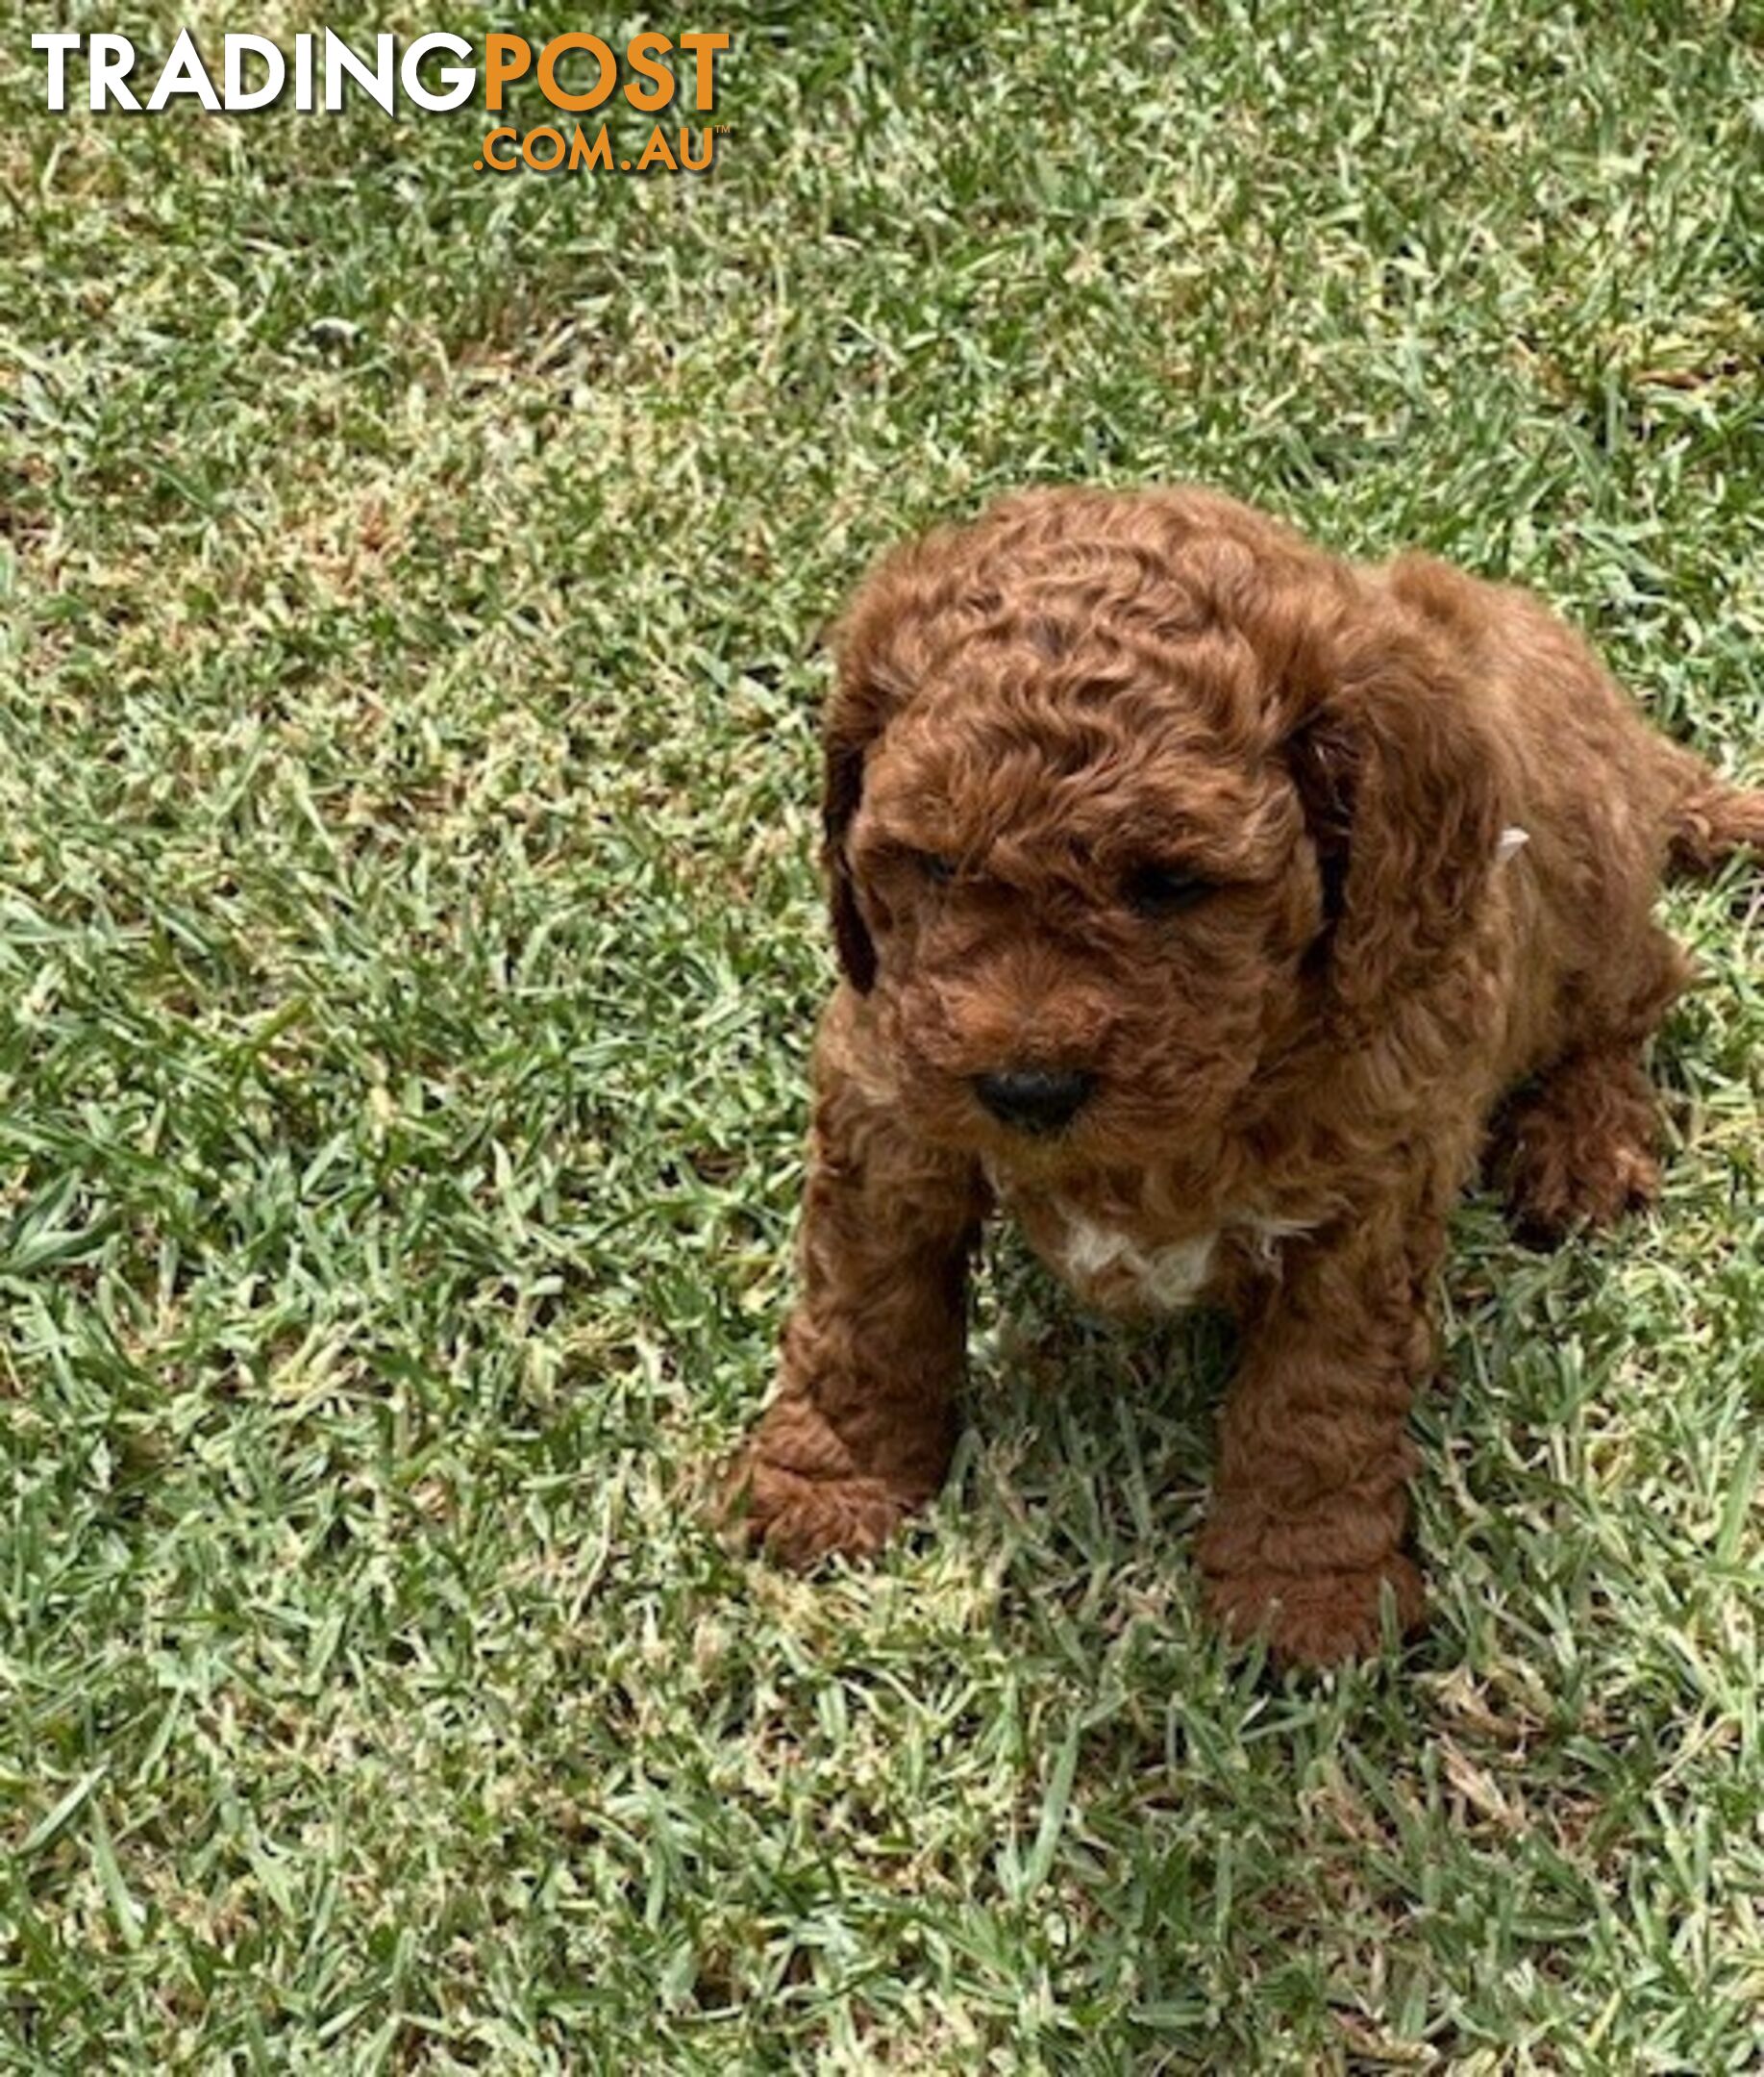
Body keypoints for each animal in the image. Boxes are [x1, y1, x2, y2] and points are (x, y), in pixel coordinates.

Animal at [722, 486, 1752, 1669]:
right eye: (933, 866)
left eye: (1173, 883)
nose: (1027, 1091)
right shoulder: (885, 1087)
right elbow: (864, 1303)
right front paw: (831, 1477)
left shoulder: (1372, 1190)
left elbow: (1314, 1397)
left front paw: (1301, 1595)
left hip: (1588, 876)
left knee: (1641, 987)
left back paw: (1583, 1143)